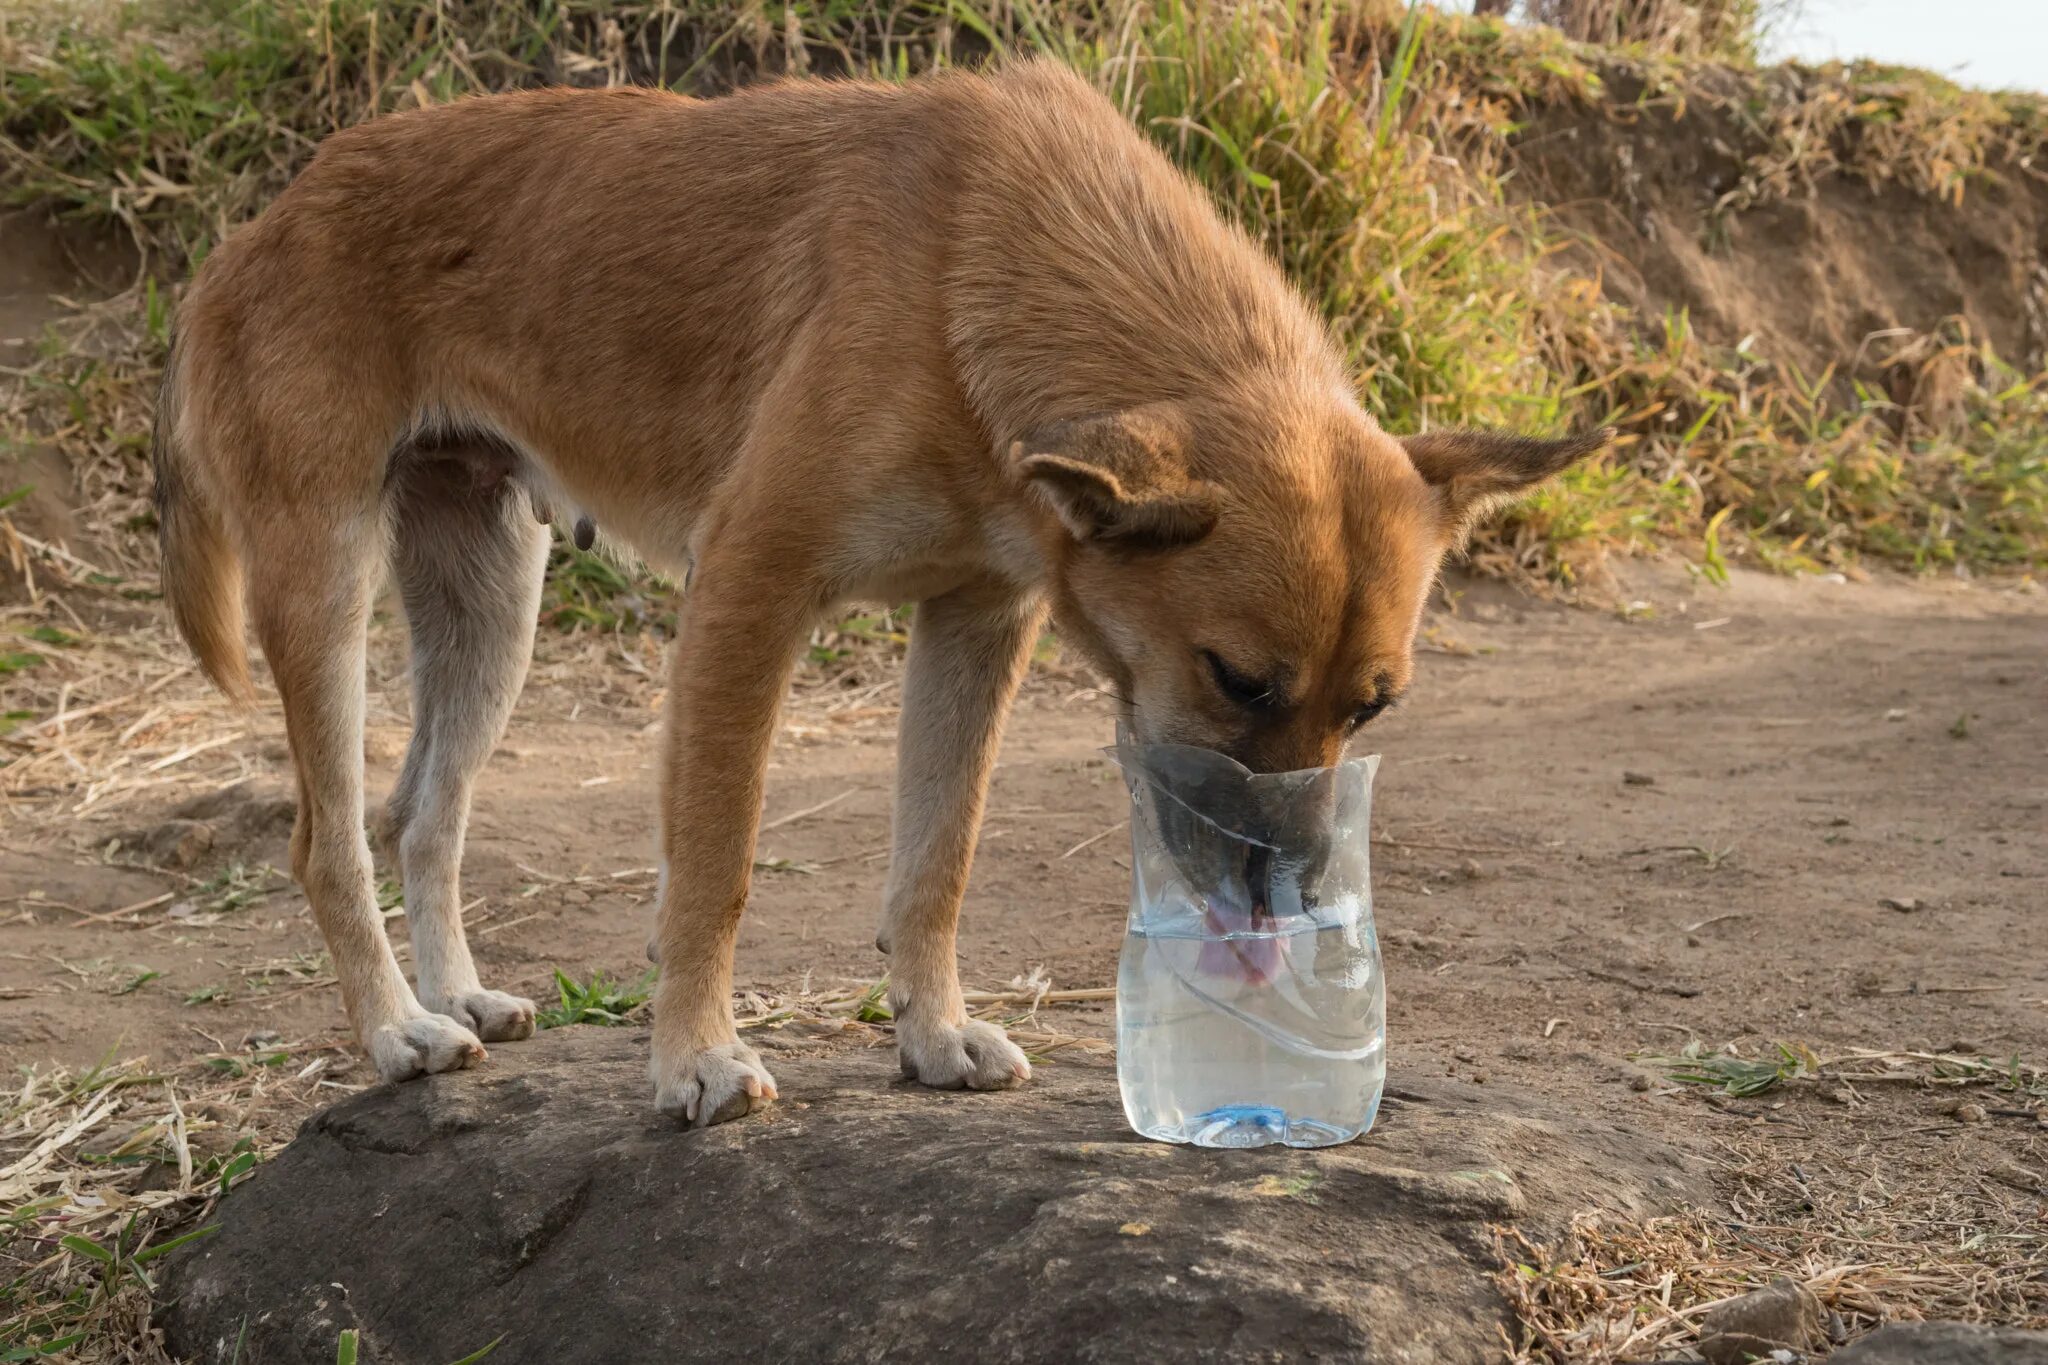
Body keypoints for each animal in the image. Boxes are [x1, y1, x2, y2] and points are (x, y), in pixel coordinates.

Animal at [151, 58, 1605, 1129]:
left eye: (1372, 710)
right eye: (1238, 679)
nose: (1288, 911)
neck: (987, 272)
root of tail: (256, 226)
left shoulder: (975, 623)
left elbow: (935, 862)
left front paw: (933, 1034)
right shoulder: (749, 590)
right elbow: (716, 866)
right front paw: (694, 1057)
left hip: (489, 600)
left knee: (423, 815)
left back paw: (458, 998)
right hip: (325, 586)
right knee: (329, 838)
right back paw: (398, 1030)